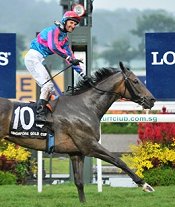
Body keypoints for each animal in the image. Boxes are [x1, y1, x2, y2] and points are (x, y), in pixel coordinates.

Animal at [0, 62, 156, 202]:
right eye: (136, 81)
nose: (152, 100)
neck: (85, 106)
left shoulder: (76, 153)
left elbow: (79, 183)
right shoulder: (89, 146)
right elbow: (119, 161)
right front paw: (145, 184)